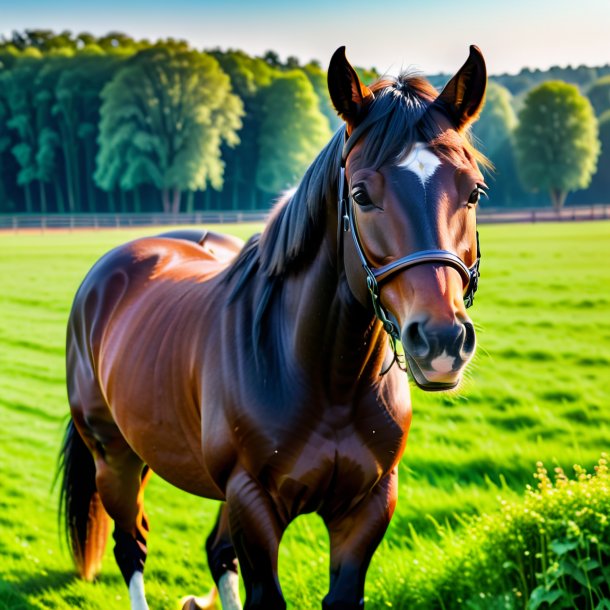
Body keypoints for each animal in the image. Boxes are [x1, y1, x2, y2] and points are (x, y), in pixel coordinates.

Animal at [59, 45, 486, 604]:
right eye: (361, 195)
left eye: (473, 191)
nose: (440, 340)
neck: (325, 380)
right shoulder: (253, 503)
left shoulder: (368, 506)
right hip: (115, 457)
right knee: (132, 547)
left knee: (216, 553)